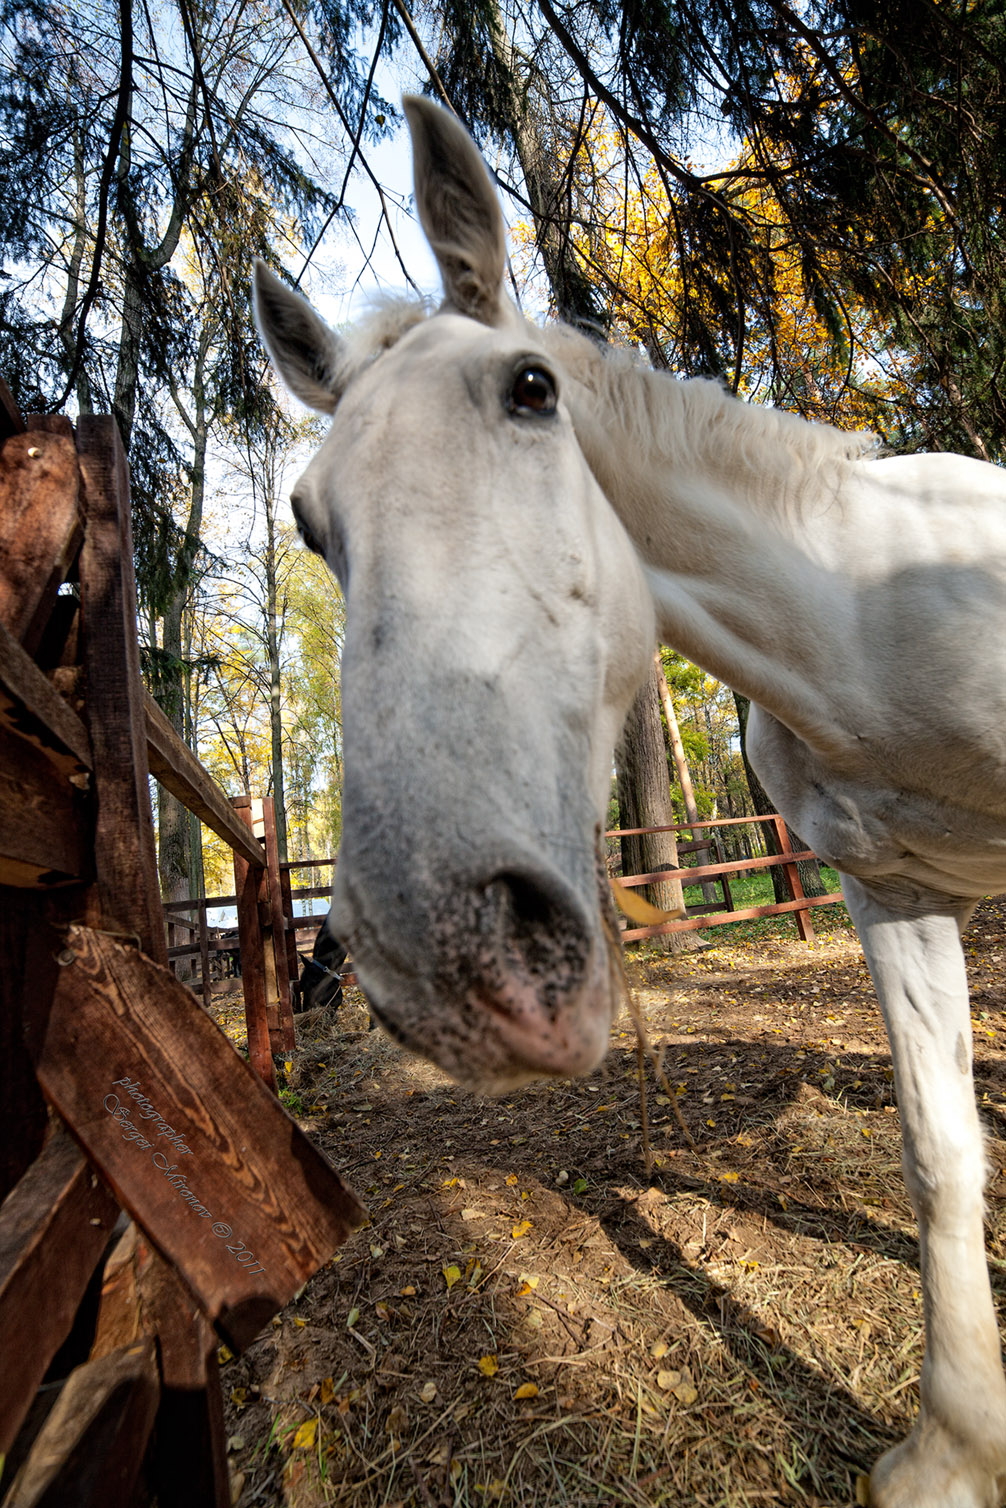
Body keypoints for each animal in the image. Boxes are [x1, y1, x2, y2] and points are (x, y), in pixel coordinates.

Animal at [256, 100, 1006, 1508]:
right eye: (310, 519)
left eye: (531, 390)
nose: (452, 950)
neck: (853, 624)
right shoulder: (891, 896)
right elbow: (939, 1155)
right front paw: (954, 1450)